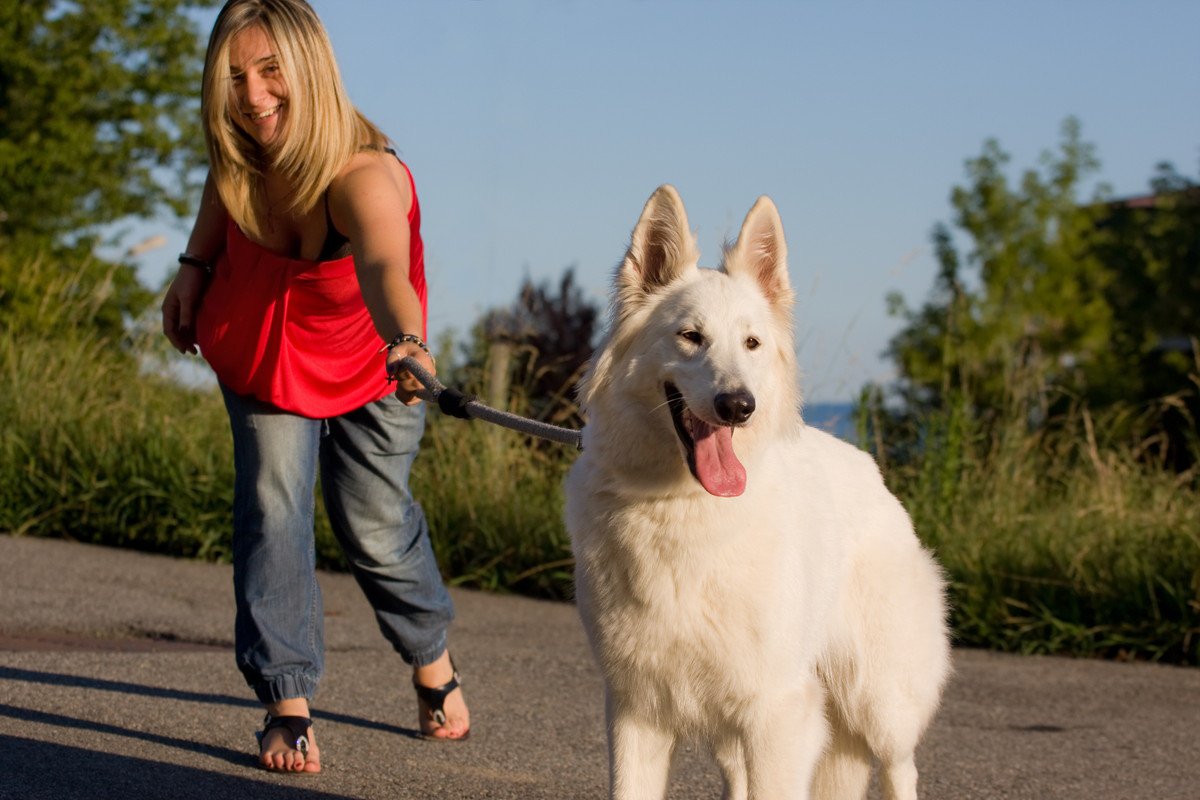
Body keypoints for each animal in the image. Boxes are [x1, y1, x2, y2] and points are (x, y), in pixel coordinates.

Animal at [566, 185, 950, 800]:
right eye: (690, 336)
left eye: (752, 343)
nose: (738, 406)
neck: (680, 506)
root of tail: (875, 476)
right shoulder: (635, 710)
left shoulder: (778, 713)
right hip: (734, 731)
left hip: (878, 703)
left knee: (900, 769)